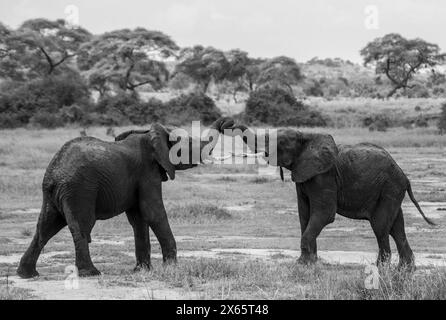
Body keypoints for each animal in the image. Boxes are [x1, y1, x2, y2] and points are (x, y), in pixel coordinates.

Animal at [17, 117, 233, 278]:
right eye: (188, 144)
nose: (227, 123)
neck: (149, 134)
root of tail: (54, 172)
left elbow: (138, 219)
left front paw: (142, 270)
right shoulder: (147, 172)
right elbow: (153, 212)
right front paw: (171, 268)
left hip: (54, 193)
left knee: (45, 227)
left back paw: (27, 274)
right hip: (80, 189)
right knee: (81, 226)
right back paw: (92, 273)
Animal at [225, 122, 434, 268]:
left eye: (281, 143)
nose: (228, 124)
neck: (306, 136)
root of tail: (405, 177)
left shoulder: (324, 176)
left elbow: (324, 214)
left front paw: (303, 264)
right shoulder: (304, 176)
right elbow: (304, 215)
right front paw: (308, 262)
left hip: (390, 187)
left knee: (381, 226)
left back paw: (381, 269)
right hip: (391, 189)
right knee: (397, 227)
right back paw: (405, 270)